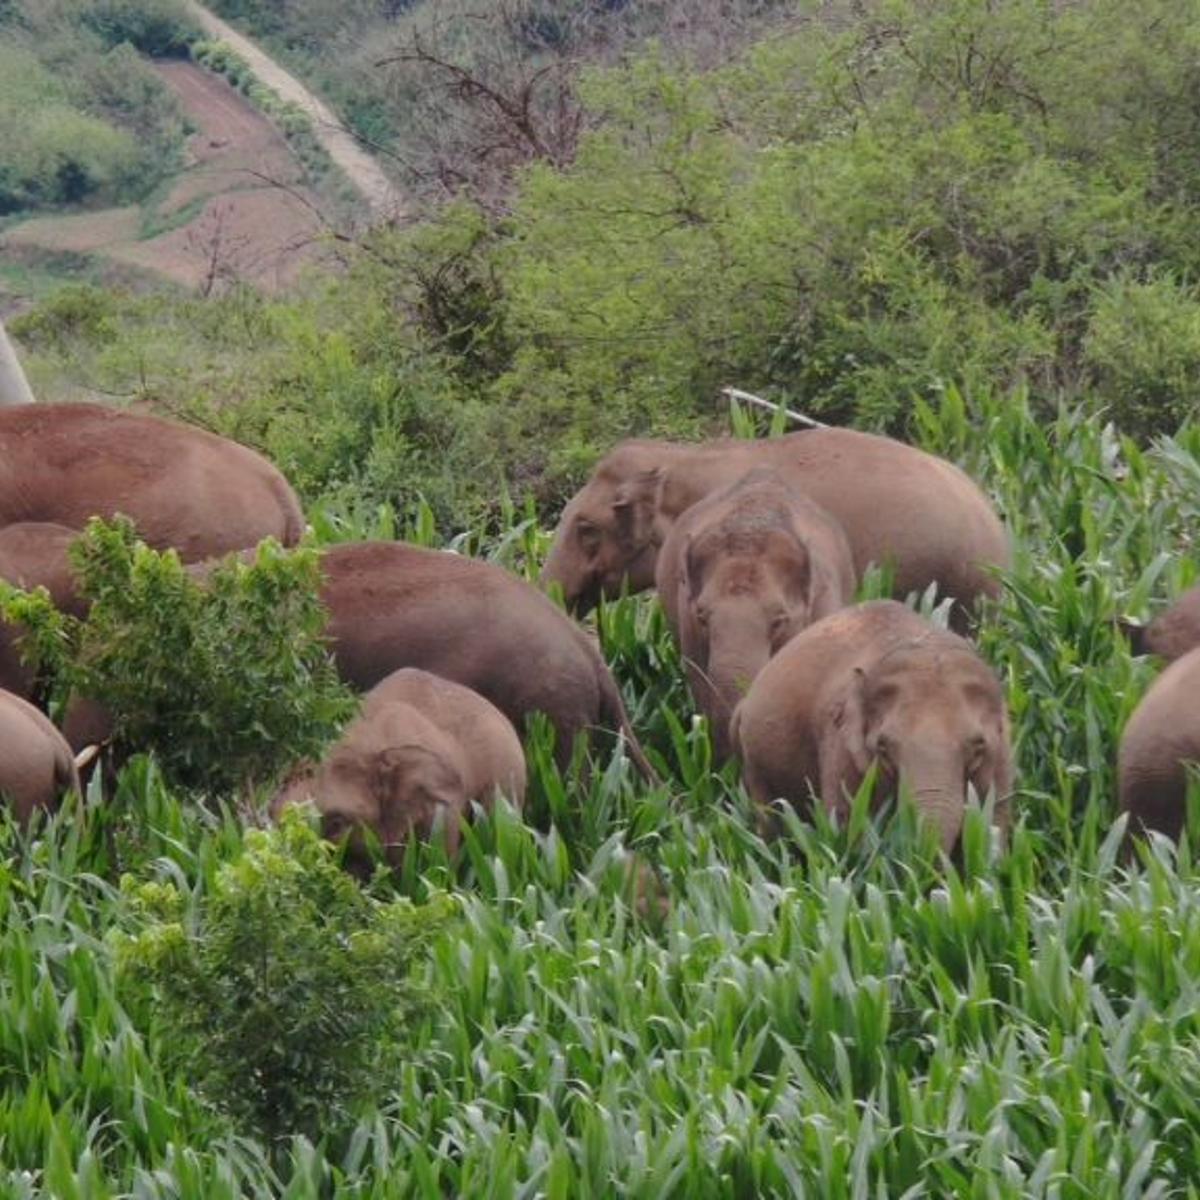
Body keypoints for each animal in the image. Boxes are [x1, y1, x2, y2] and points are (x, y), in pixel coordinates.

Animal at [731, 600, 1013, 851]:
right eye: (883, 747)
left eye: (978, 745)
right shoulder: (839, 746)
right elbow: (849, 826)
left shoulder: (1002, 759)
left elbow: (992, 826)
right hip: (756, 763)